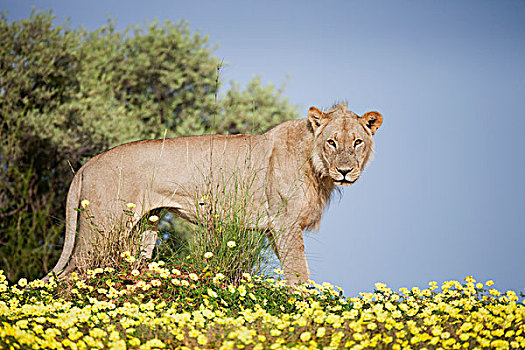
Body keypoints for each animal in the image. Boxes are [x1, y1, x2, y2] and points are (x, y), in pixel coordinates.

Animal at [49, 102, 380, 284]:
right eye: (332, 142)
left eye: (357, 142)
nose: (345, 171)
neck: (317, 166)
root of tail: (86, 165)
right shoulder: (285, 224)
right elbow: (299, 273)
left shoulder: (275, 229)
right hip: (101, 231)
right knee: (70, 276)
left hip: (144, 227)